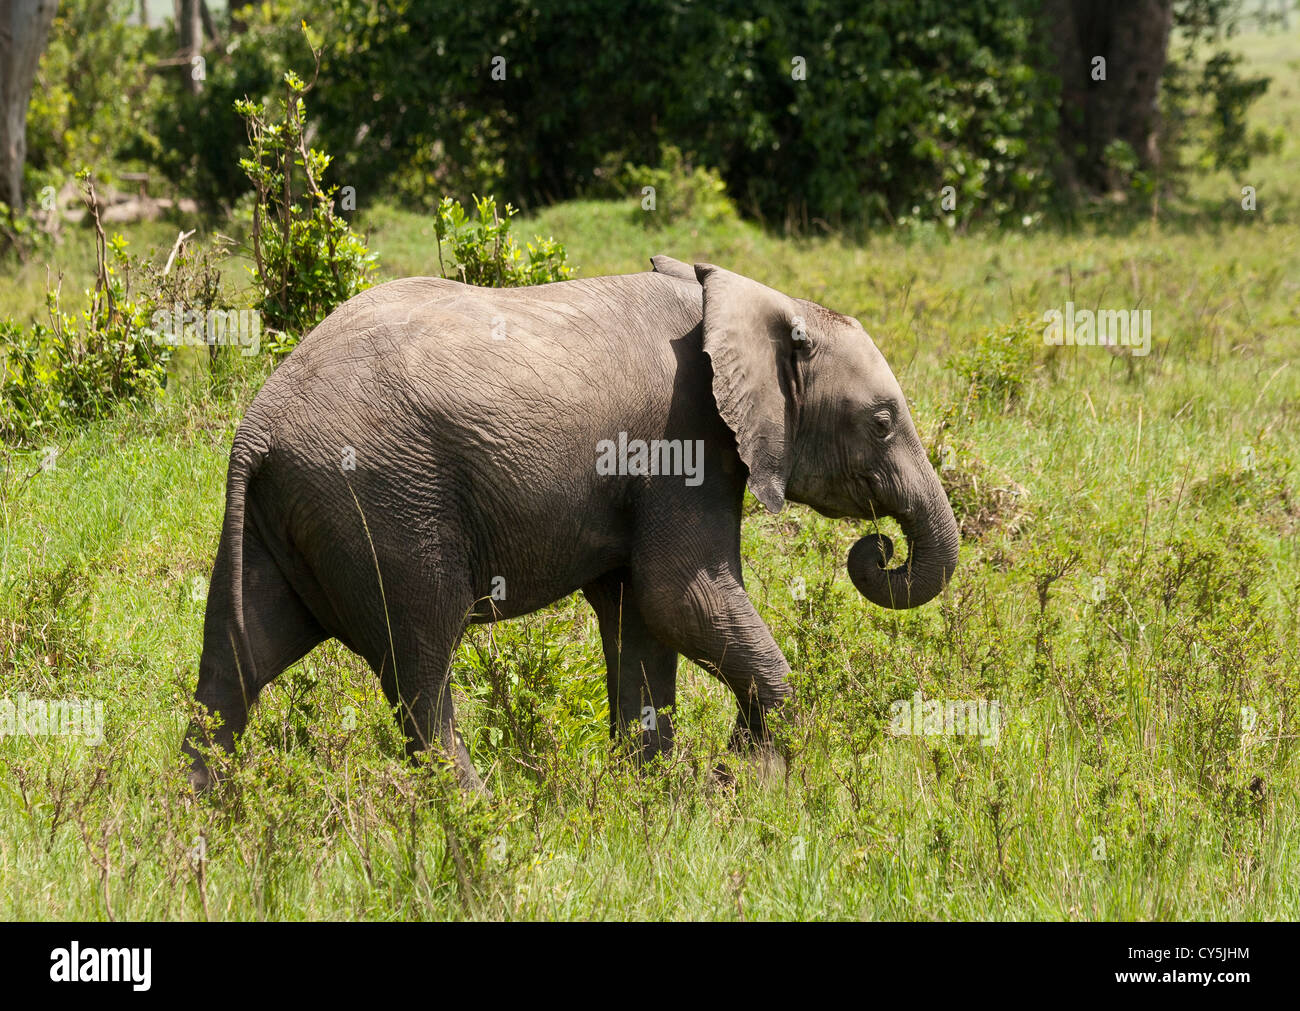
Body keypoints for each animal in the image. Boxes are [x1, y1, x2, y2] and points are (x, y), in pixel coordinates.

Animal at [180, 252, 956, 790]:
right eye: (882, 422)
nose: (877, 548)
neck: (739, 296)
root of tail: (257, 430)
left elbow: (640, 616)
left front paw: (650, 796)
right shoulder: (682, 443)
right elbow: (678, 595)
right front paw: (744, 782)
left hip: (285, 518)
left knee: (235, 665)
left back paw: (203, 827)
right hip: (383, 502)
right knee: (420, 666)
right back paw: (482, 818)